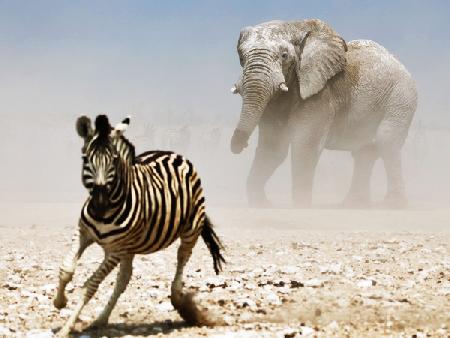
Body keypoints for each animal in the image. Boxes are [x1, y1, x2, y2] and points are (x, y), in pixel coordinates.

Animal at [53, 114, 225, 336]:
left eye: (114, 160)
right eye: (85, 159)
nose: (99, 204)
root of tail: (172, 153)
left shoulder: (116, 250)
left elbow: (90, 286)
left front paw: (66, 328)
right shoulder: (84, 233)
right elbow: (65, 269)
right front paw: (59, 302)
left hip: (190, 229)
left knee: (182, 258)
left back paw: (179, 300)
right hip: (131, 247)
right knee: (123, 279)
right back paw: (101, 319)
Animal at [230, 19, 416, 209]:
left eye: (284, 56)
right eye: (241, 57)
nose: (238, 145)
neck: (296, 26)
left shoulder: (321, 94)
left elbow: (304, 146)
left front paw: (301, 206)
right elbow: (273, 149)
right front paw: (263, 205)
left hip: (401, 96)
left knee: (386, 141)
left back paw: (393, 205)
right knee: (364, 153)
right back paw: (353, 205)